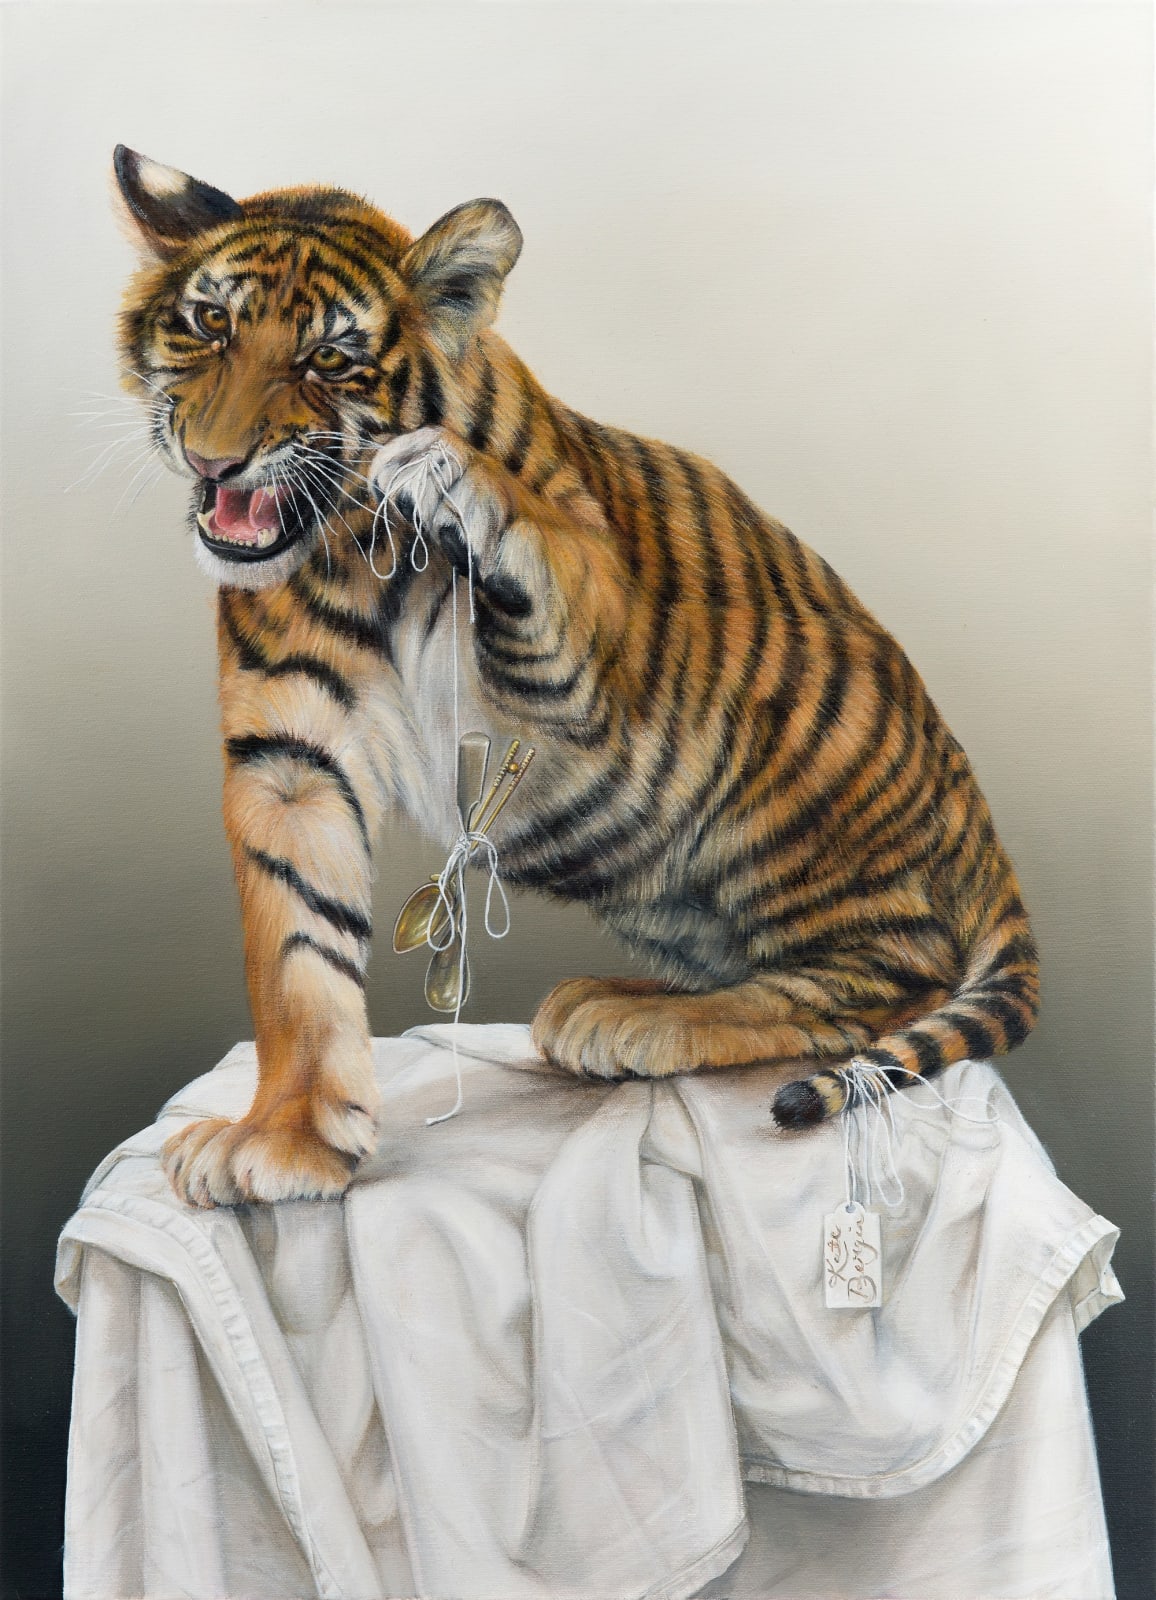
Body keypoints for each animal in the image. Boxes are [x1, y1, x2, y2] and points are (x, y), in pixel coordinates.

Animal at [112, 146, 1040, 1208]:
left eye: (329, 359)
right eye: (209, 324)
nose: (215, 458)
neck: (351, 553)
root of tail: (981, 832)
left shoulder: (580, 673)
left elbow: (545, 548)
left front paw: (452, 479)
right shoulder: (290, 763)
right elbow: (296, 958)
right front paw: (287, 1139)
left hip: (801, 784)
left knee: (894, 979)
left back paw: (644, 1020)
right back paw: (618, 1000)